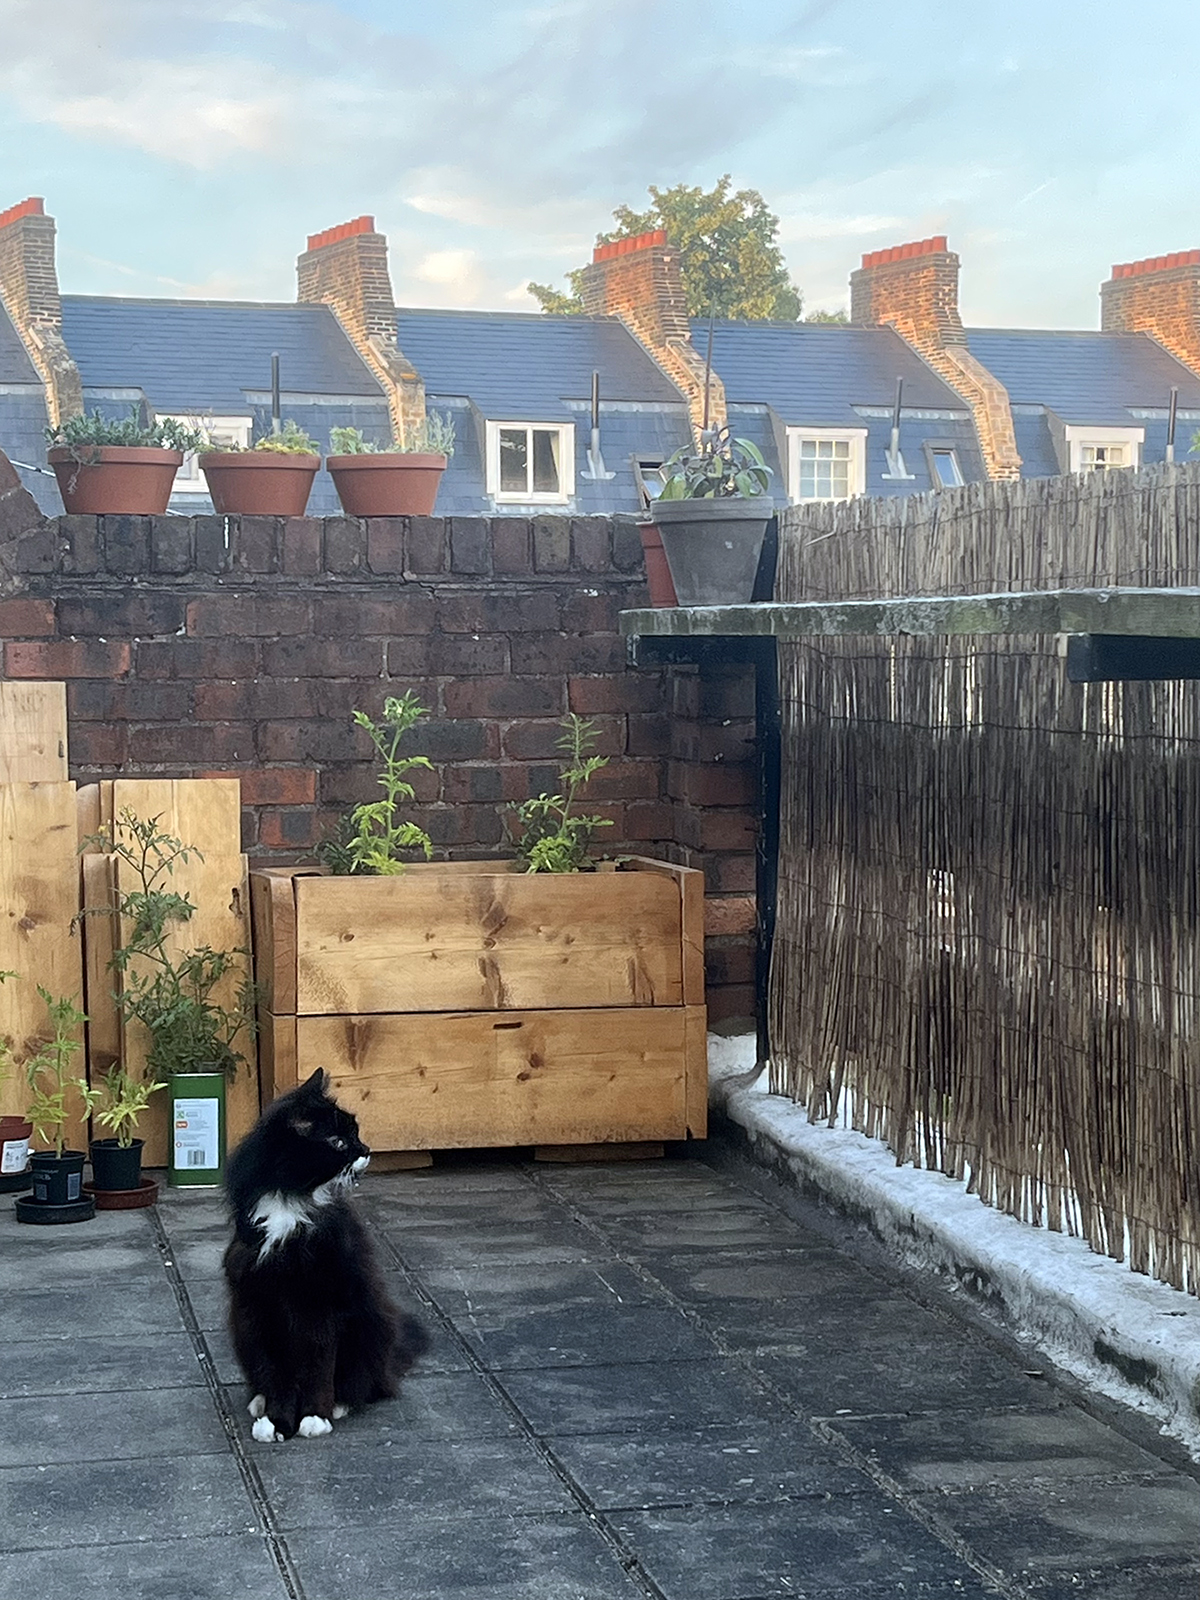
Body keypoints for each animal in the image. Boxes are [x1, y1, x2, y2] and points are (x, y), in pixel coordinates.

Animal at [224, 1075, 428, 1440]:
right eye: (337, 1142)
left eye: (355, 1131)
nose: (366, 1151)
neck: (289, 1203)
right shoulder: (262, 1306)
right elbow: (278, 1375)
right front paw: (277, 1421)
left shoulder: (323, 1303)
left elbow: (318, 1368)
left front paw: (314, 1417)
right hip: (242, 1328)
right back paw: (259, 1403)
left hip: (368, 1326)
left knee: (369, 1385)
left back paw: (341, 1403)